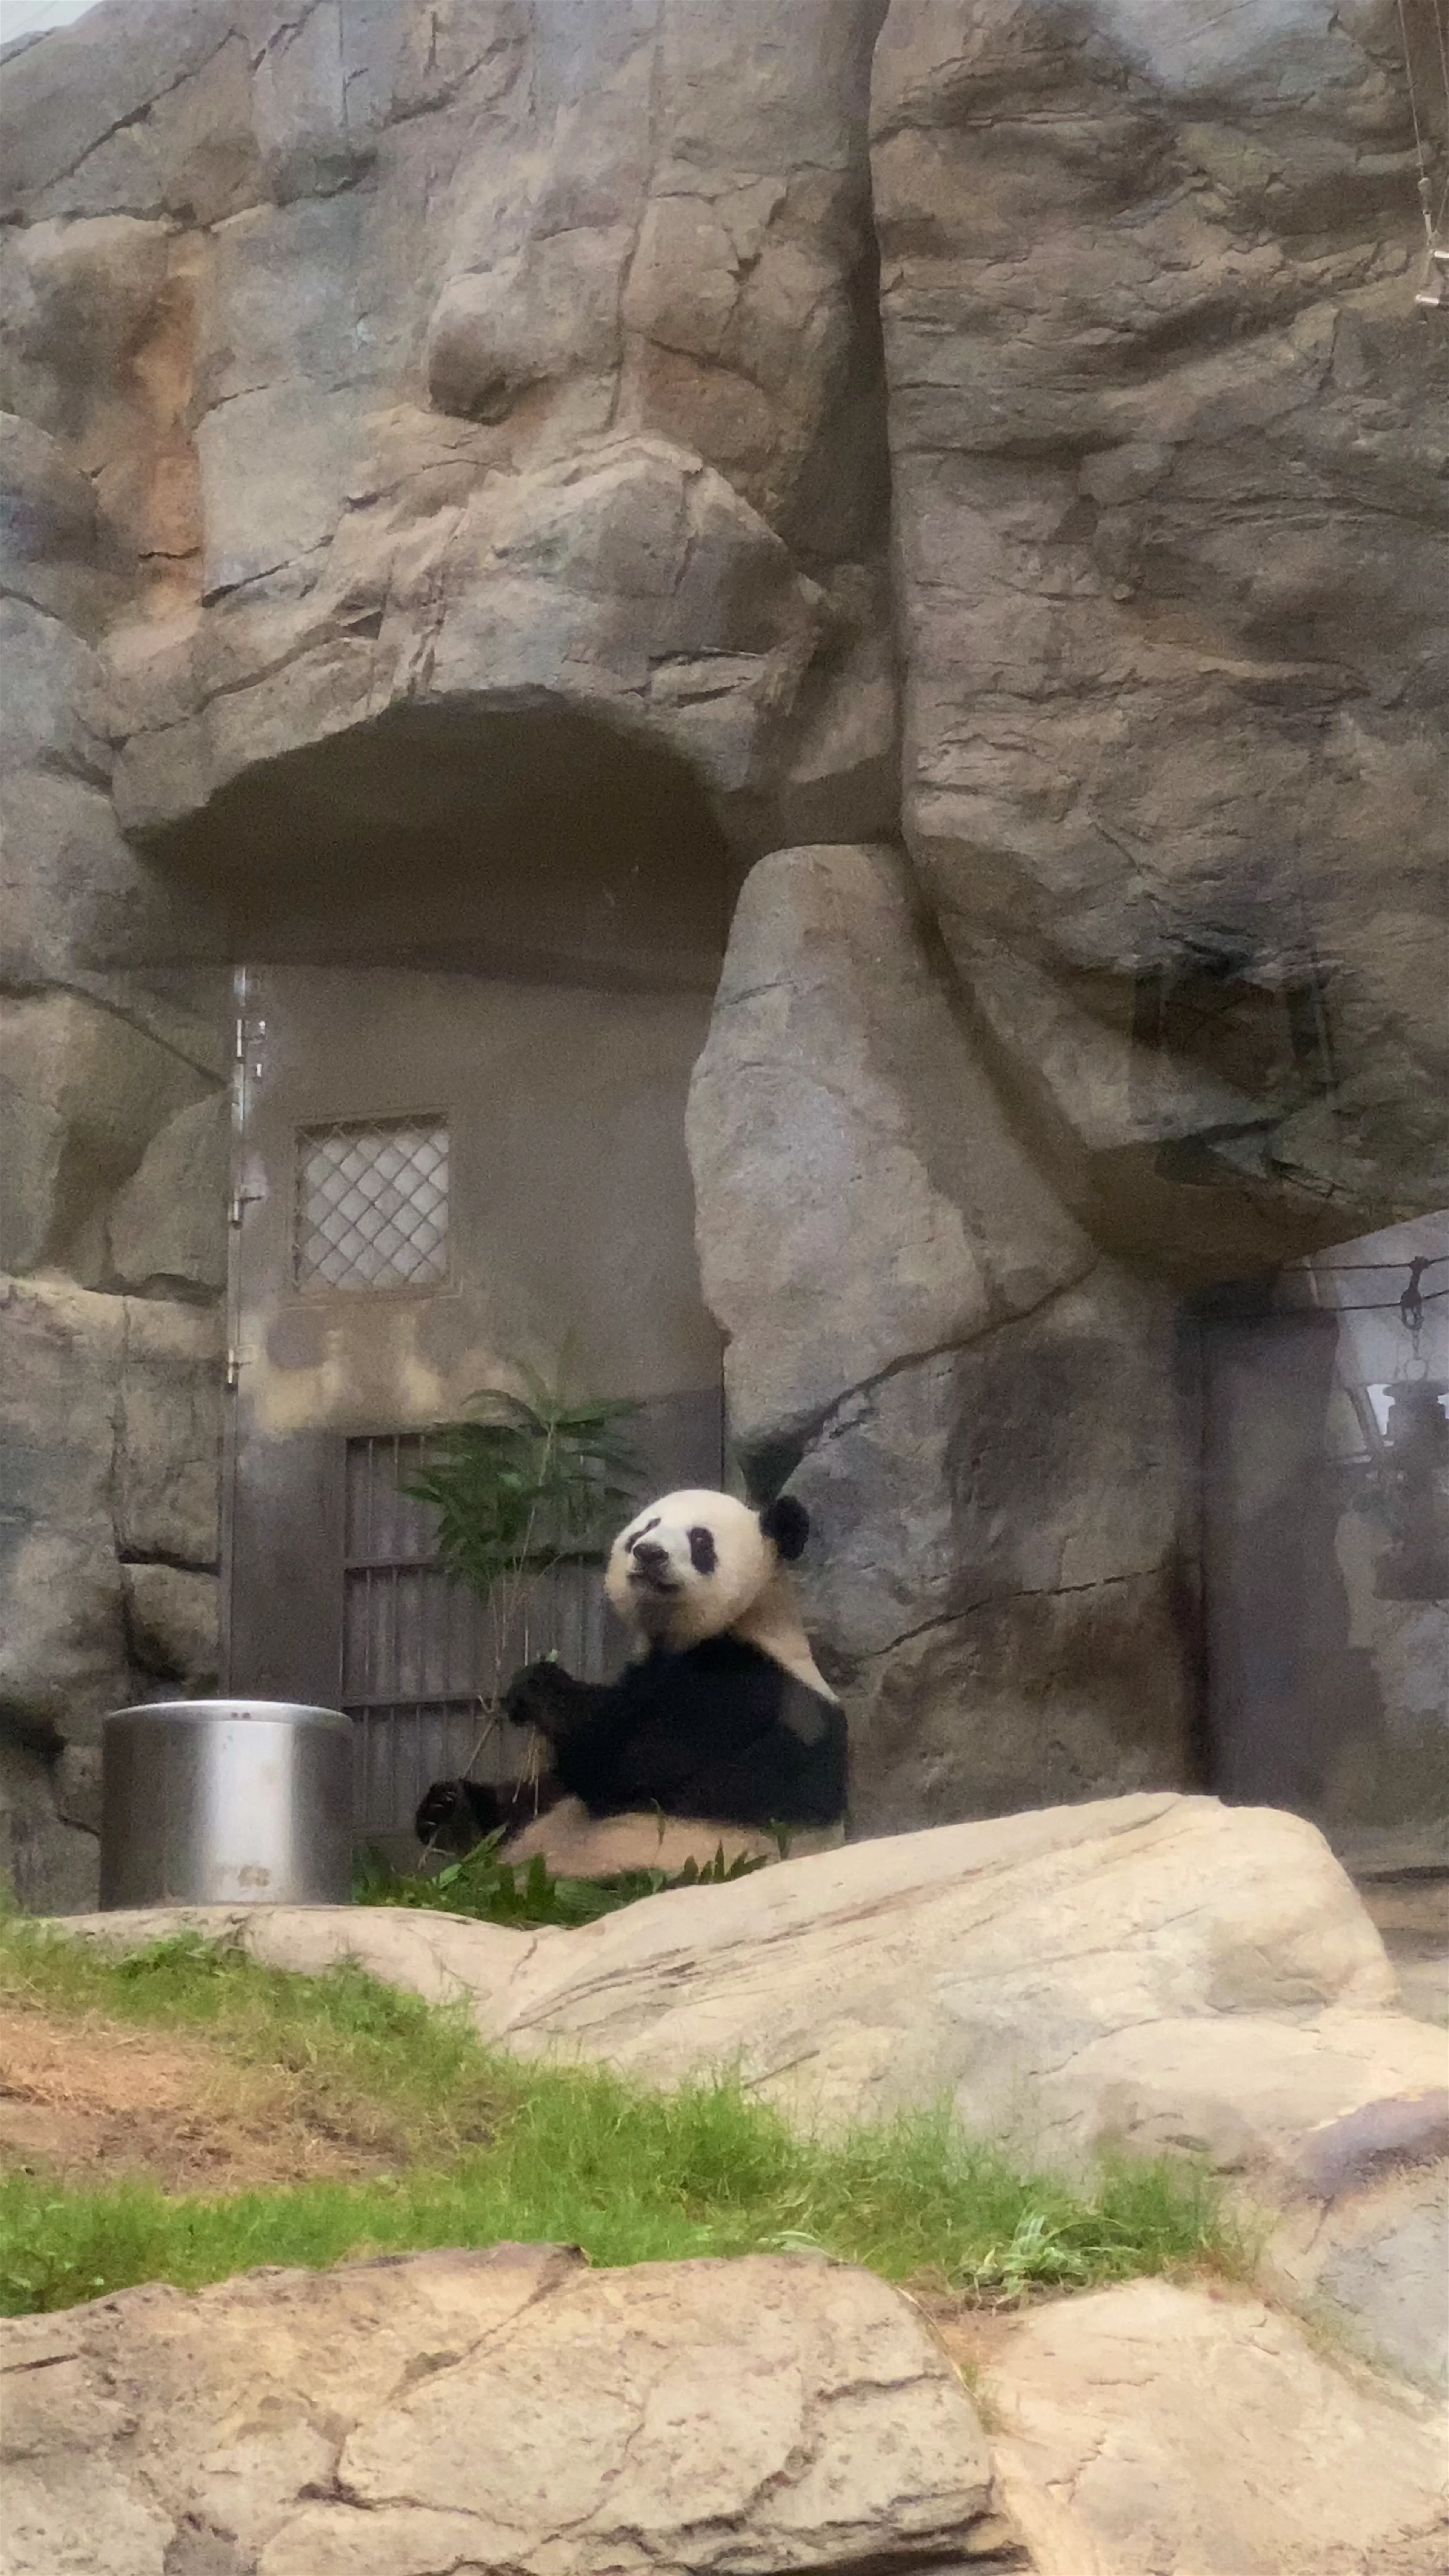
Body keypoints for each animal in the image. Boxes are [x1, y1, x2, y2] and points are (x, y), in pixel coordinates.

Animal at [415, 1488, 847, 1872]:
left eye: (701, 1539)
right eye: (647, 1527)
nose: (649, 1553)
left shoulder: (742, 1688)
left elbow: (626, 1762)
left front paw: (540, 1687)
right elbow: (543, 1792)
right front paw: (448, 1807)